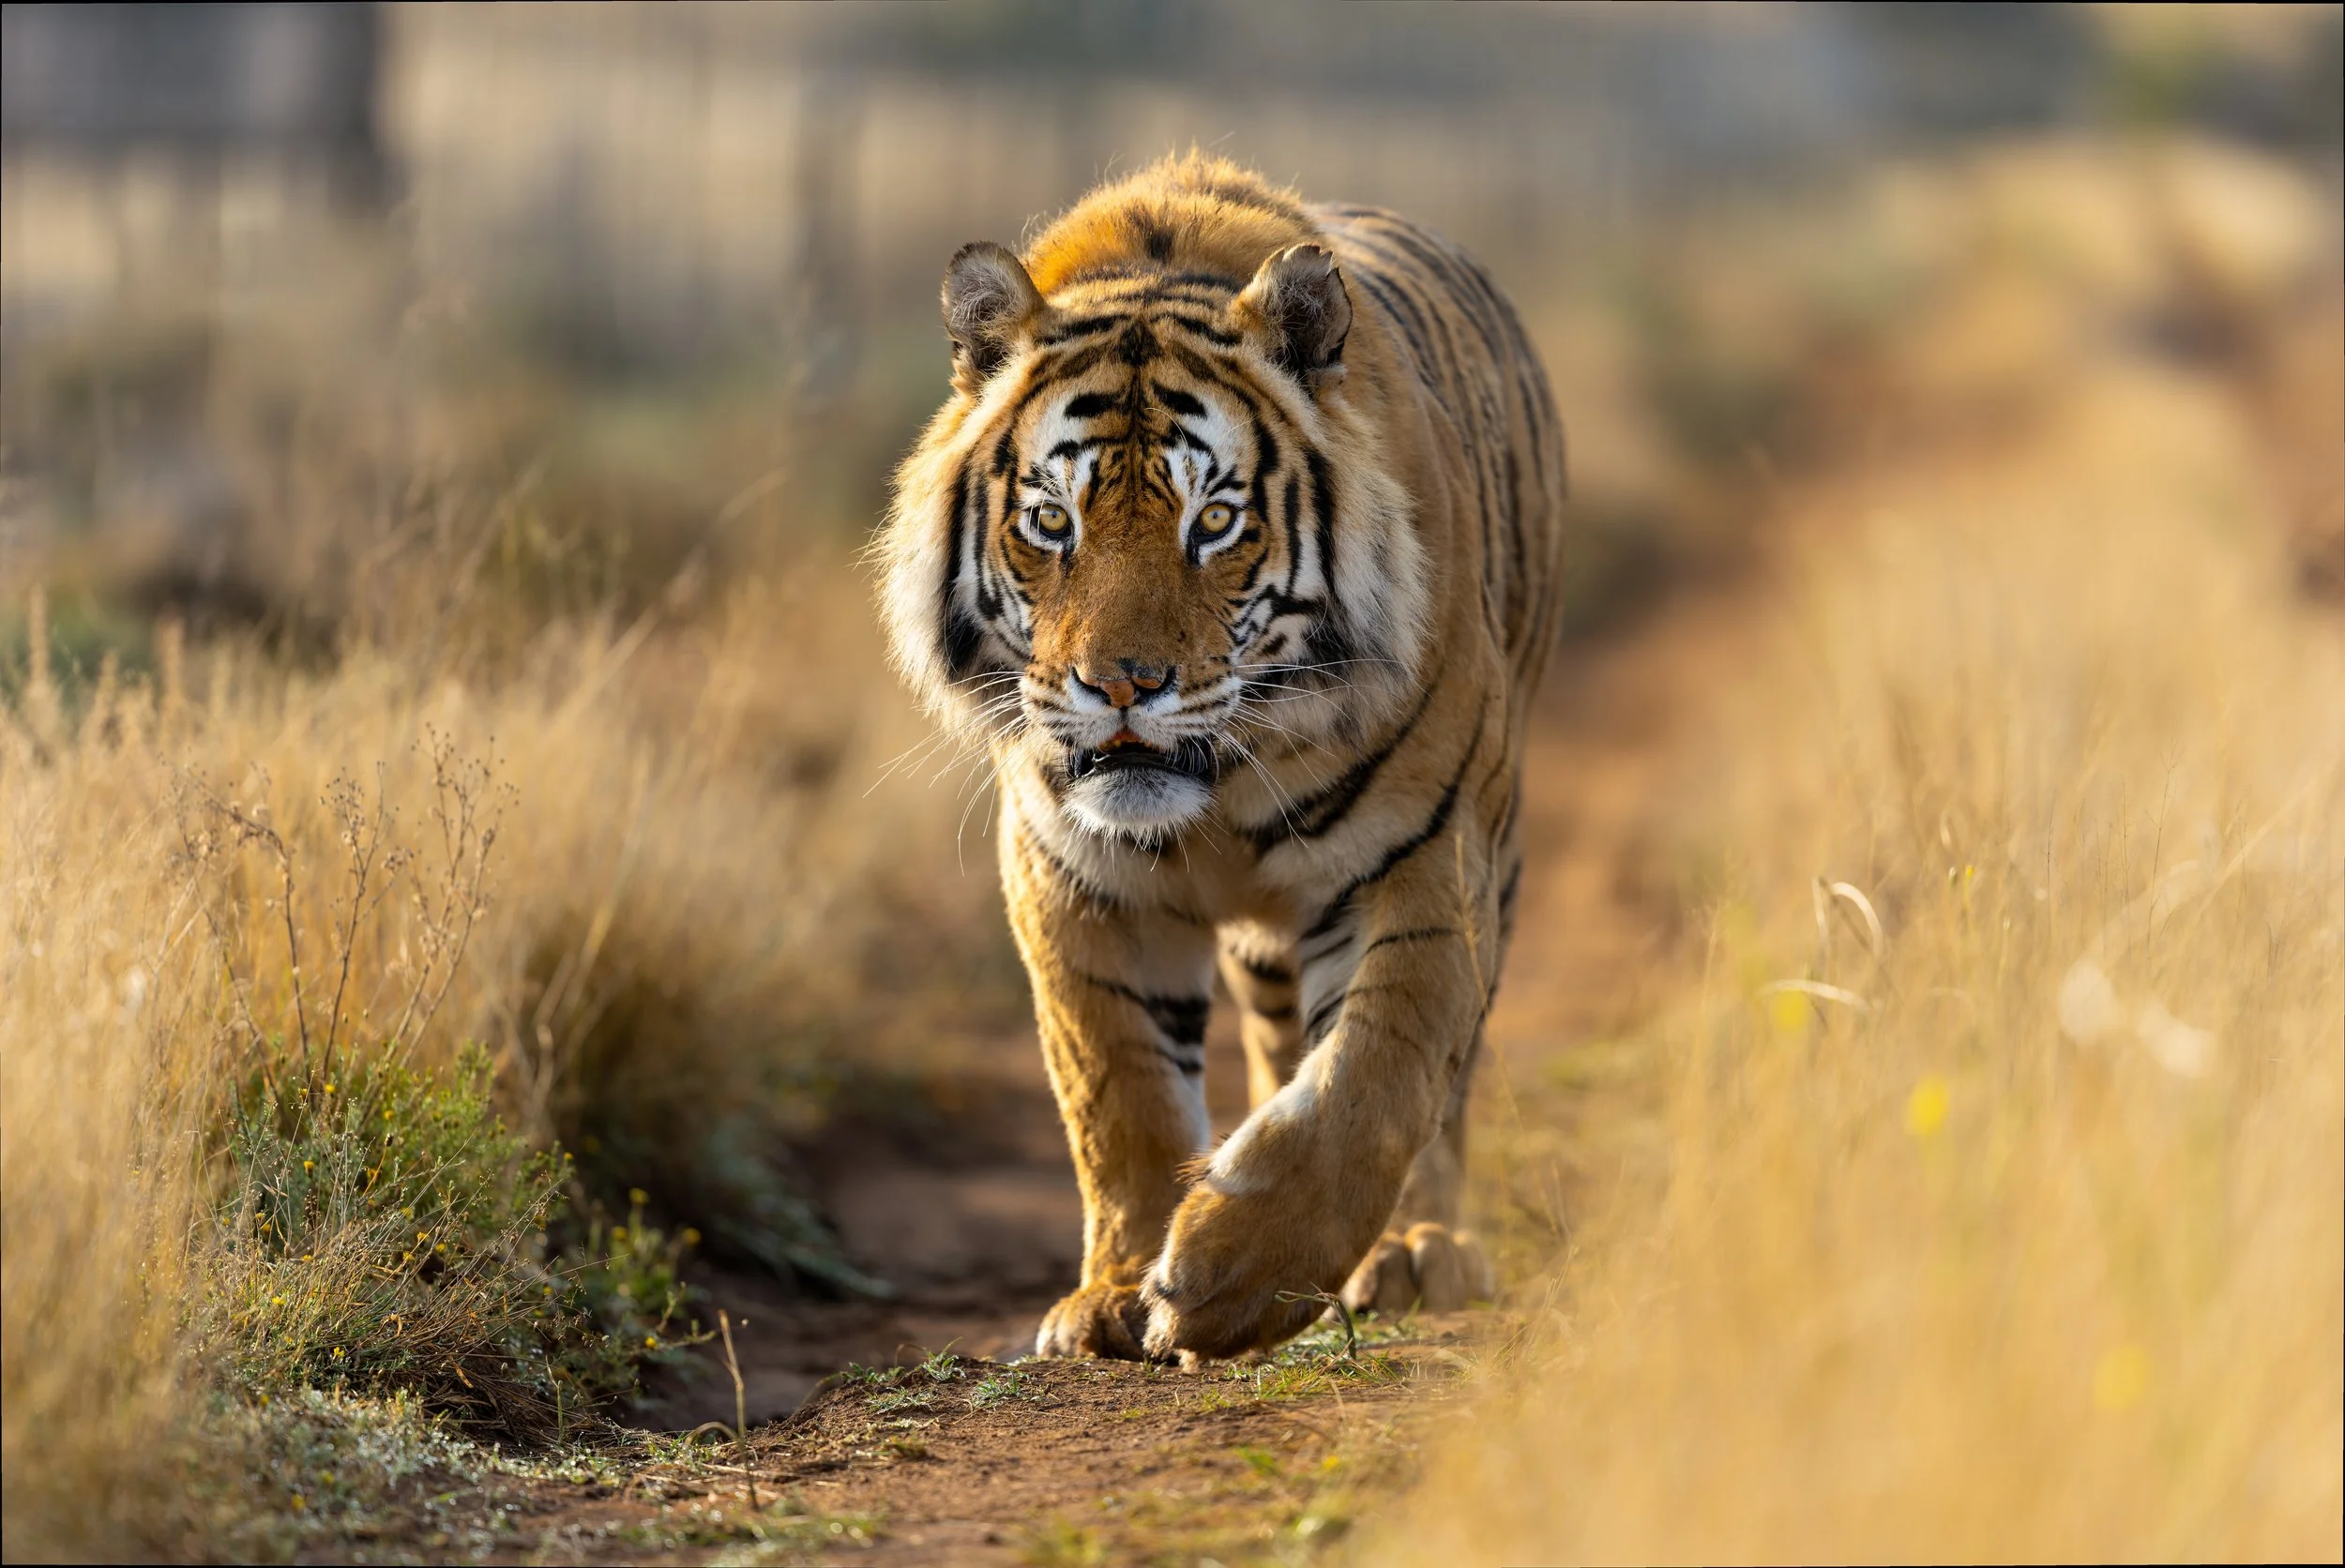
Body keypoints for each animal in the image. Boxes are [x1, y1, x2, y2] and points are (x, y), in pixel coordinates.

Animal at [878, 153, 1566, 1363]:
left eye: (1214, 522)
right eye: (1051, 521)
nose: (1119, 685)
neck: (1222, 788)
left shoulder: (1425, 862)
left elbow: (1375, 1079)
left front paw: (1232, 1278)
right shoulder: (1071, 878)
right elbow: (1119, 1092)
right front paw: (1116, 1291)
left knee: (1438, 1088)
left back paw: (1417, 1251)